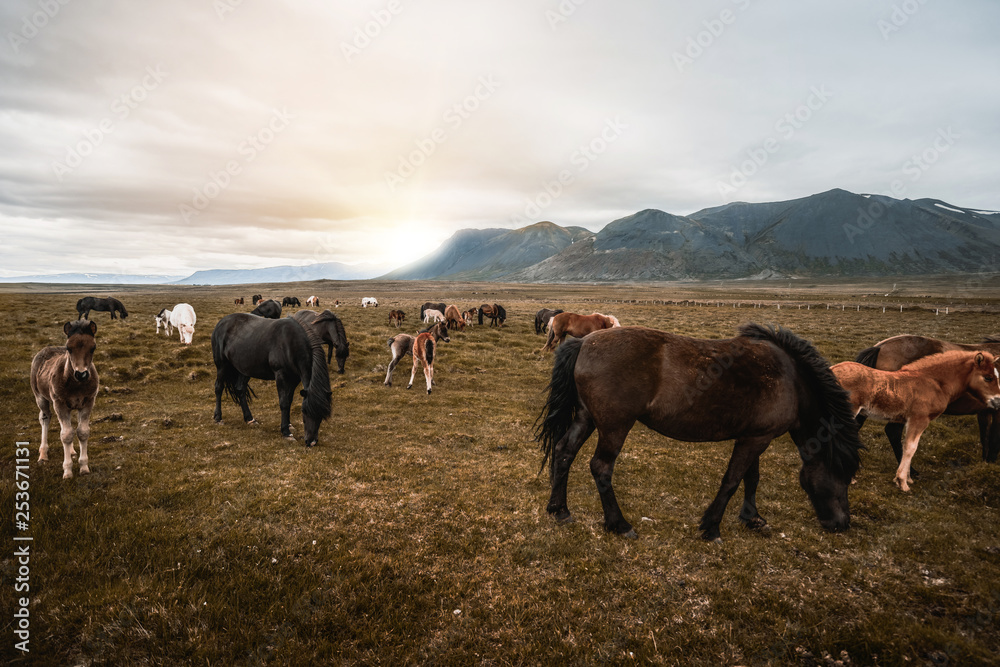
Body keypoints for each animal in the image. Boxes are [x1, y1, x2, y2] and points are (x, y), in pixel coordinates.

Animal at [29, 320, 99, 478]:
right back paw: (43, 455)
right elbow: (66, 435)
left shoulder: (88, 402)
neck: (76, 385)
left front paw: (84, 467)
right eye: (69, 348)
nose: (81, 374)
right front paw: (67, 471)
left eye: (93, 348)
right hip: (41, 398)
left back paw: (72, 451)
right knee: (45, 418)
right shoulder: (59, 403)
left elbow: (82, 432)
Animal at [212, 314, 334, 448]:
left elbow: (289, 400)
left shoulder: (294, 379)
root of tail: (221, 323)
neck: (290, 343)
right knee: (218, 388)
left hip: (244, 369)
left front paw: (289, 424)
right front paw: (286, 432)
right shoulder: (280, 375)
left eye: (322, 415)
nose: (311, 442)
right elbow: (284, 402)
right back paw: (218, 418)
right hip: (222, 365)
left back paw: (250, 419)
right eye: (304, 411)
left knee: (240, 389)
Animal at [536, 324, 864, 544]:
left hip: (586, 417)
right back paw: (619, 524)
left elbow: (751, 478)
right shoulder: (756, 439)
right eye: (843, 474)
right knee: (601, 467)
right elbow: (732, 481)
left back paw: (559, 510)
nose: (842, 523)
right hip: (614, 426)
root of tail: (584, 342)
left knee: (564, 452)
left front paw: (752, 518)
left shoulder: (755, 435)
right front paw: (712, 527)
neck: (791, 380)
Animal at [832, 350, 1000, 490]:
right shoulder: (919, 419)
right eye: (988, 377)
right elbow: (911, 447)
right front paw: (902, 482)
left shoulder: (908, 420)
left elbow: (907, 445)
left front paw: (907, 478)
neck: (934, 382)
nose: (998, 402)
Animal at [852, 334, 1000, 464]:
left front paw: (985, 460)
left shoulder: (985, 411)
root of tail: (880, 347)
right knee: (892, 432)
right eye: (988, 378)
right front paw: (991, 462)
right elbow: (994, 437)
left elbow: (985, 436)